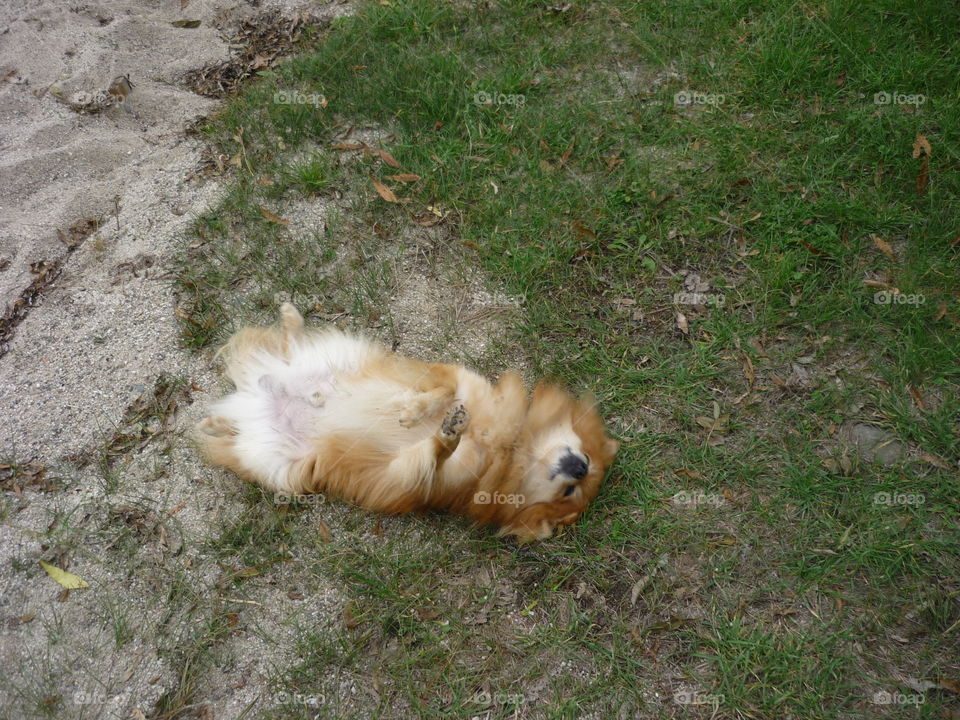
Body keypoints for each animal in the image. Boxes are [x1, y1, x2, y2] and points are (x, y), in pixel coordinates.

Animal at [195, 302, 620, 540]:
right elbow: (444, 392)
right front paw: (417, 410)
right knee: (289, 344)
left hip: (279, 467)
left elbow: (433, 453)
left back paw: (215, 424)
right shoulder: (455, 377)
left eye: (571, 494)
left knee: (233, 437)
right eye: (585, 457)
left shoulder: (424, 479)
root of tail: (253, 400)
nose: (580, 468)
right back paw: (290, 319)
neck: (509, 445)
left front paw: (446, 433)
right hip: (341, 353)